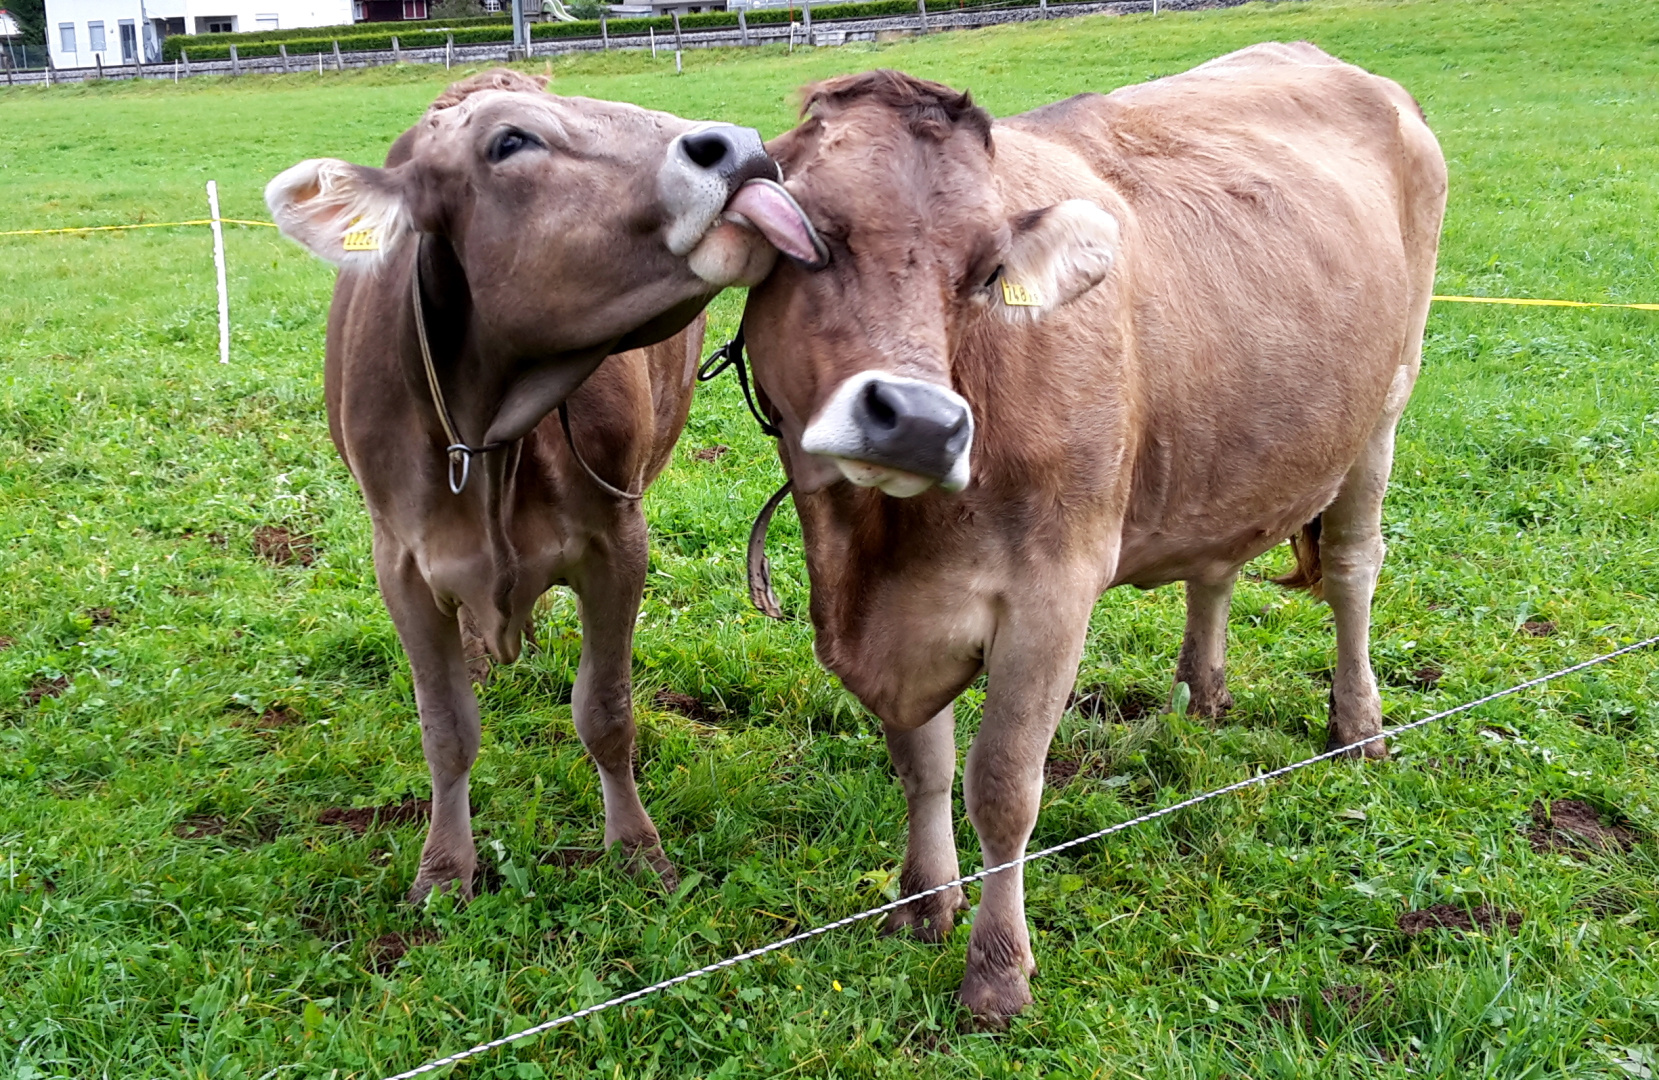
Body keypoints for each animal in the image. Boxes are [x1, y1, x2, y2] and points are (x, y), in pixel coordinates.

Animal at [268, 69, 786, 902]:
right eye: (510, 141)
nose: (738, 145)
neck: (489, 437)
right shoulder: (400, 564)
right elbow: (446, 729)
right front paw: (444, 867)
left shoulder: (618, 540)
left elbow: (605, 712)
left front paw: (637, 849)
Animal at [733, 44, 1446, 1021]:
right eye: (811, 235)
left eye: (985, 270)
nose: (917, 423)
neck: (873, 544)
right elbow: (921, 764)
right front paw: (923, 902)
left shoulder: (1052, 590)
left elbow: (1002, 786)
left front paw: (998, 972)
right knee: (1214, 566)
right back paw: (1202, 693)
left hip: (1384, 408)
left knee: (1350, 570)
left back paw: (1357, 725)